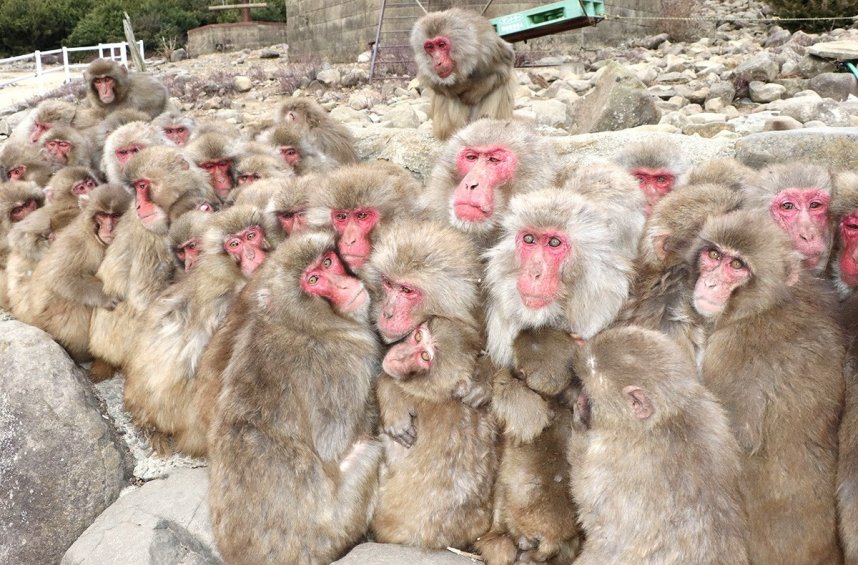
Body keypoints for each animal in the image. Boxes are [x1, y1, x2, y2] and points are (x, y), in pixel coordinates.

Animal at [207, 230, 382, 564]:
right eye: (313, 280)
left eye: (328, 262)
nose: (345, 285)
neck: (302, 325)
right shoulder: (345, 364)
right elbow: (333, 442)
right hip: (336, 527)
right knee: (368, 451)